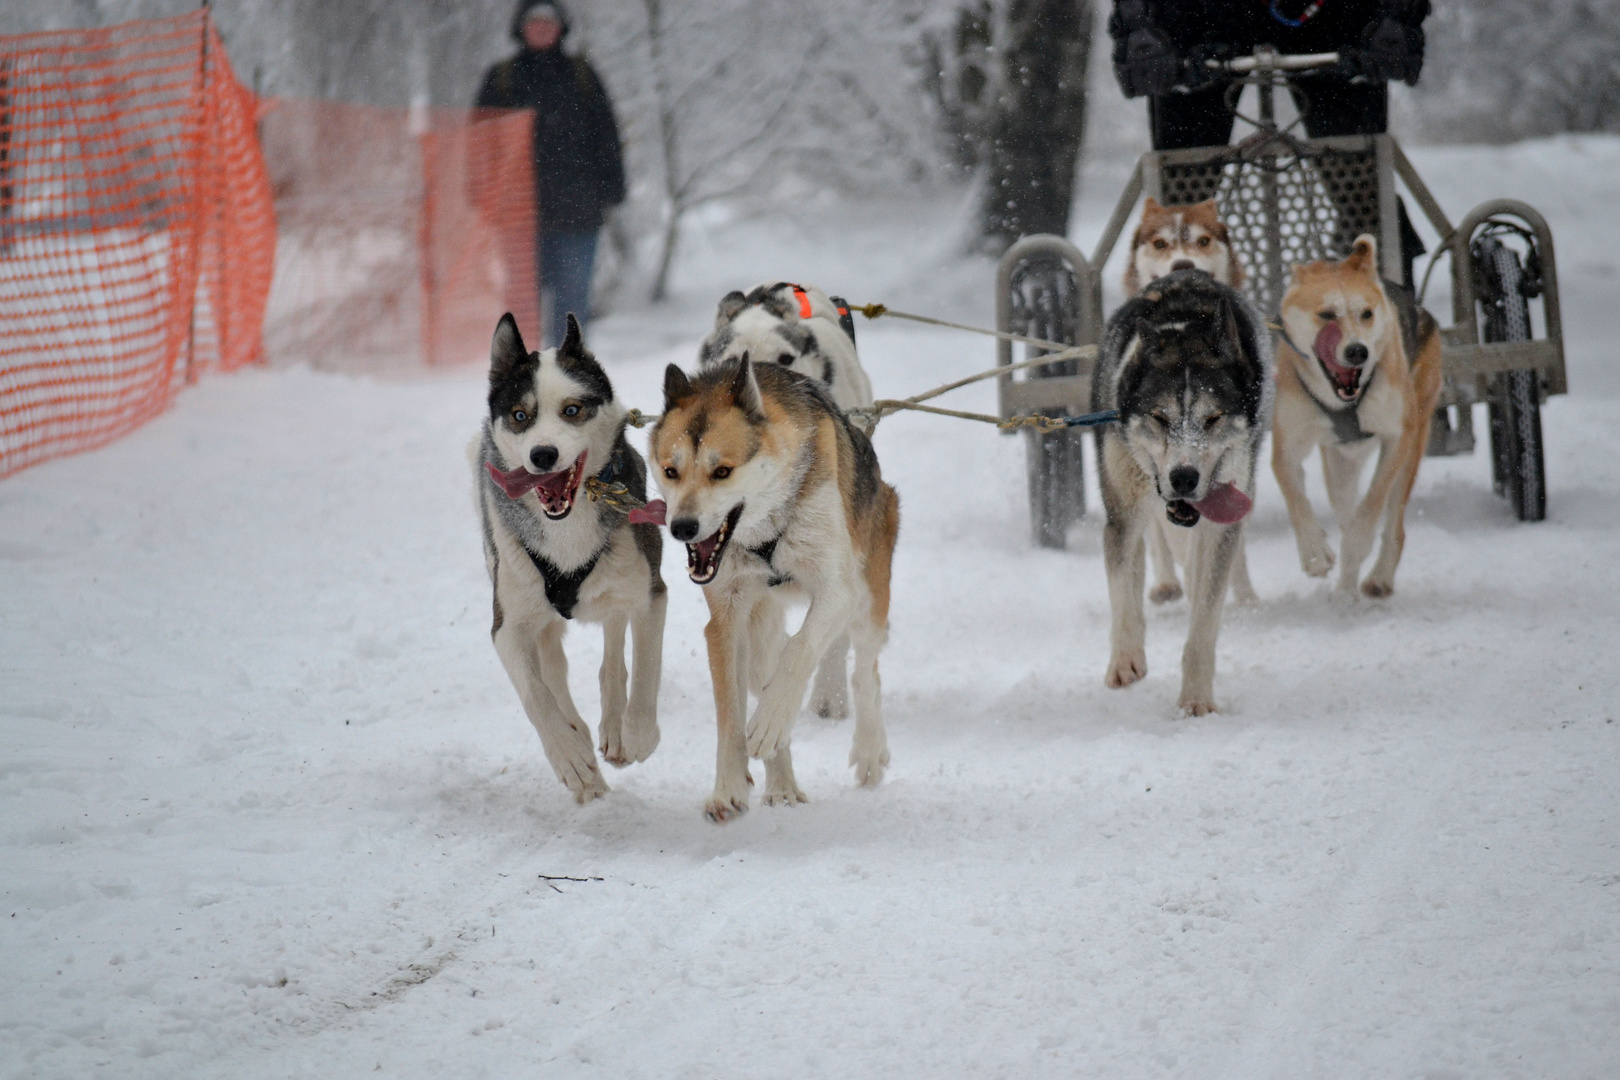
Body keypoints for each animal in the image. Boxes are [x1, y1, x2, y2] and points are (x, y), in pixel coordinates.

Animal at [473, 312, 667, 803]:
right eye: (520, 416)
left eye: (573, 410)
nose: (543, 454)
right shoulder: (508, 626)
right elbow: (536, 696)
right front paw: (569, 757)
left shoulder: (650, 594)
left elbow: (645, 669)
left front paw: (638, 733)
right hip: (536, 614)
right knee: (553, 674)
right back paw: (581, 748)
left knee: (614, 650)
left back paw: (615, 730)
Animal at [644, 359, 900, 822]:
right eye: (671, 470)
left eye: (722, 471)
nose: (682, 527)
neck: (765, 532)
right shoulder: (724, 620)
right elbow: (729, 713)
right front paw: (728, 786)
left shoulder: (837, 590)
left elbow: (799, 649)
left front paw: (770, 721)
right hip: (759, 629)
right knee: (765, 673)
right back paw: (782, 786)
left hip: (868, 597)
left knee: (864, 673)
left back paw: (869, 751)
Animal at [1095, 268, 1270, 718]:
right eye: (1159, 417)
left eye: (1213, 418)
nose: (1185, 477)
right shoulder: (1122, 513)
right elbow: (1123, 591)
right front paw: (1125, 659)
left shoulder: (1222, 518)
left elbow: (1204, 621)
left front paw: (1195, 698)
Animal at [1263, 234, 1445, 599]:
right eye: (1326, 314)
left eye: (1366, 314)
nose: (1358, 351)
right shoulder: (1286, 448)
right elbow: (1295, 496)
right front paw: (1315, 551)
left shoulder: (1397, 438)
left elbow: (1371, 507)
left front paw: (1356, 545)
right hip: (1339, 464)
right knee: (1345, 508)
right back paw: (1345, 592)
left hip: (1412, 446)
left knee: (1392, 525)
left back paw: (1377, 577)